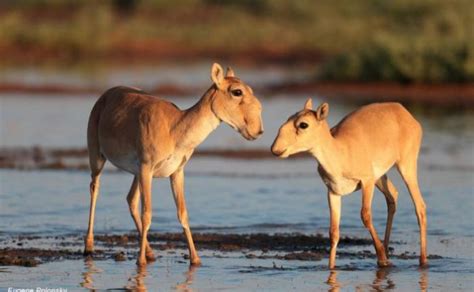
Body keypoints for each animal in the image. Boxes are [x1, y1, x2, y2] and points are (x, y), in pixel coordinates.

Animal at [84, 62, 262, 266]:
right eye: (237, 91)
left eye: (250, 89)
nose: (258, 129)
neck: (175, 127)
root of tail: (106, 94)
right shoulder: (147, 168)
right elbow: (147, 214)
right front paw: (140, 261)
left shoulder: (177, 172)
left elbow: (182, 213)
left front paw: (195, 259)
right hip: (98, 157)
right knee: (95, 188)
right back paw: (89, 246)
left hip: (136, 172)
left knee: (131, 199)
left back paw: (150, 252)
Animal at [272, 99, 428, 268]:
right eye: (289, 118)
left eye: (303, 124)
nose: (275, 149)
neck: (340, 152)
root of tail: (402, 111)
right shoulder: (333, 192)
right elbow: (334, 232)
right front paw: (331, 268)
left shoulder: (367, 182)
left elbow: (365, 215)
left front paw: (380, 256)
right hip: (380, 177)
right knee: (393, 195)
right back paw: (387, 251)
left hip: (406, 166)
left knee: (420, 206)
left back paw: (421, 260)